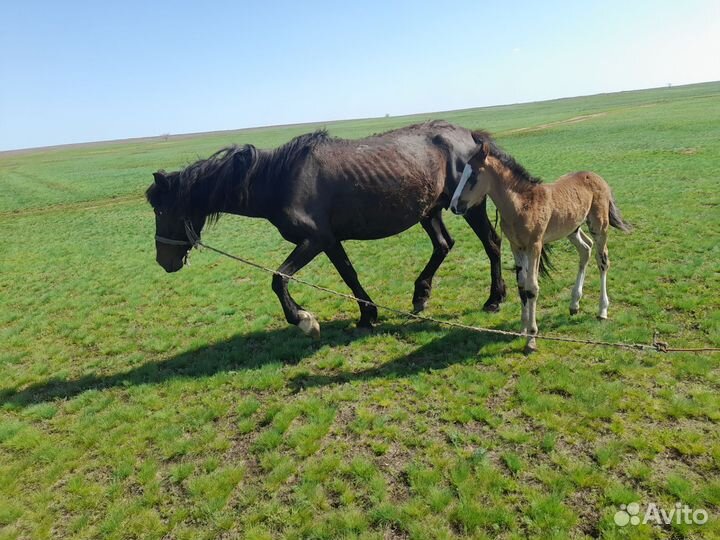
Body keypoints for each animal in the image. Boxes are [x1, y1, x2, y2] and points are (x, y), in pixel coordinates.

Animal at [146, 121, 507, 338]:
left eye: (161, 209)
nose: (164, 261)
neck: (279, 181)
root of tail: (469, 136)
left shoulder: (315, 239)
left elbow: (278, 278)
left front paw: (304, 320)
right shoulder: (330, 241)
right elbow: (349, 275)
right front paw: (367, 314)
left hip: (470, 207)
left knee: (491, 243)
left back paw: (494, 299)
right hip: (429, 210)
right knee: (443, 244)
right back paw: (421, 295)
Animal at [450, 131, 631, 353]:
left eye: (473, 175)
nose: (454, 206)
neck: (521, 204)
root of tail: (597, 176)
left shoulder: (535, 245)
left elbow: (532, 288)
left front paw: (531, 339)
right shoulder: (516, 246)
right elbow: (521, 285)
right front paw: (521, 329)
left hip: (599, 225)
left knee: (602, 259)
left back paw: (602, 310)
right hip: (572, 228)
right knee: (585, 250)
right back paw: (574, 304)